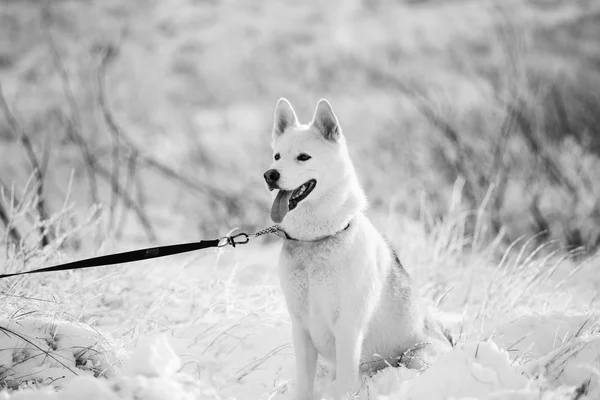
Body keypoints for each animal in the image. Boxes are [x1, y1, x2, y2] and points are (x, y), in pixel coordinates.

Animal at [264, 97, 452, 400]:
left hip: (416, 357)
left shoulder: (348, 328)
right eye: (277, 156)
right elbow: (304, 385)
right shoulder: (300, 327)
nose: (270, 175)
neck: (315, 241)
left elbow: (344, 384)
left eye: (303, 157)